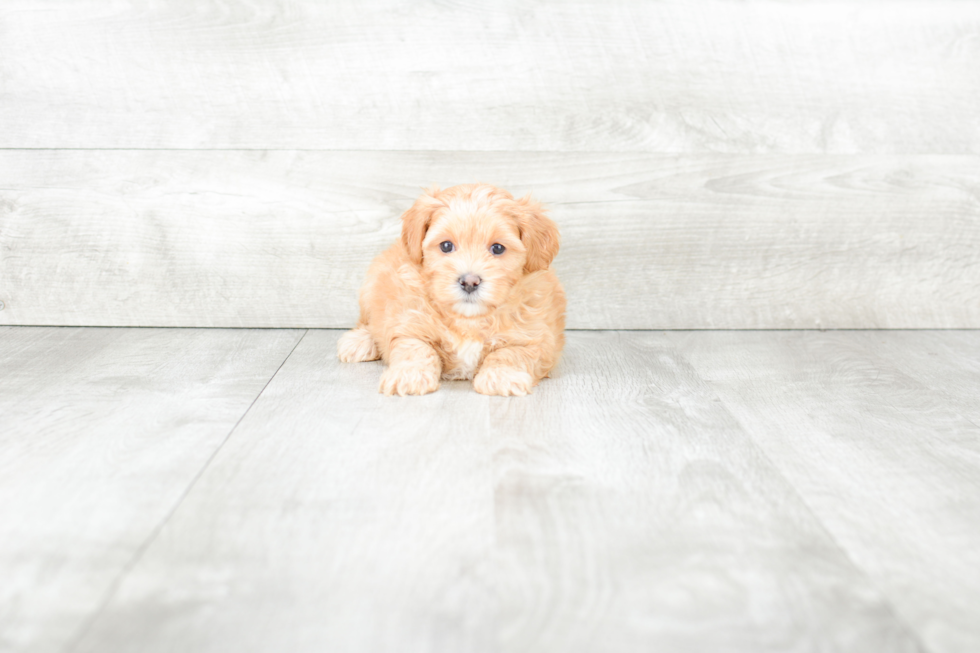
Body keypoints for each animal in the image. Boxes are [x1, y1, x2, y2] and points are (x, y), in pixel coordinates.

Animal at [336, 183, 568, 398]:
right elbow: (415, 348)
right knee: (367, 321)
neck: (469, 318)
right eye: (446, 246)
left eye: (498, 248)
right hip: (371, 285)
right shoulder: (408, 321)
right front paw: (409, 375)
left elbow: (511, 353)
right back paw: (359, 341)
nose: (469, 282)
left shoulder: (536, 338)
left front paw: (502, 376)